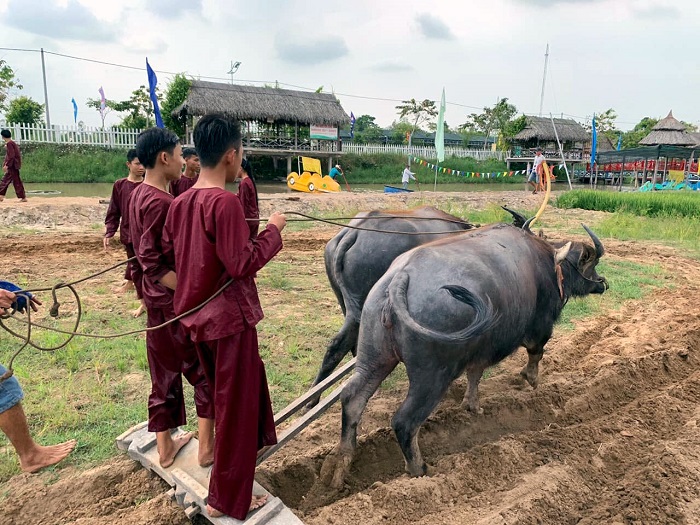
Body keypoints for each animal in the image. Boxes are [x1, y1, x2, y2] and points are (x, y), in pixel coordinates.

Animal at [322, 222, 608, 488]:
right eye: (590, 264)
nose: (603, 284)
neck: (546, 263)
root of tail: (398, 279)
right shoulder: (541, 326)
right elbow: (535, 354)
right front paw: (532, 380)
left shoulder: (480, 348)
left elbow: (475, 373)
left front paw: (472, 405)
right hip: (432, 376)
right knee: (404, 421)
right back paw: (419, 469)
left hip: (373, 357)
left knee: (352, 398)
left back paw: (341, 467)